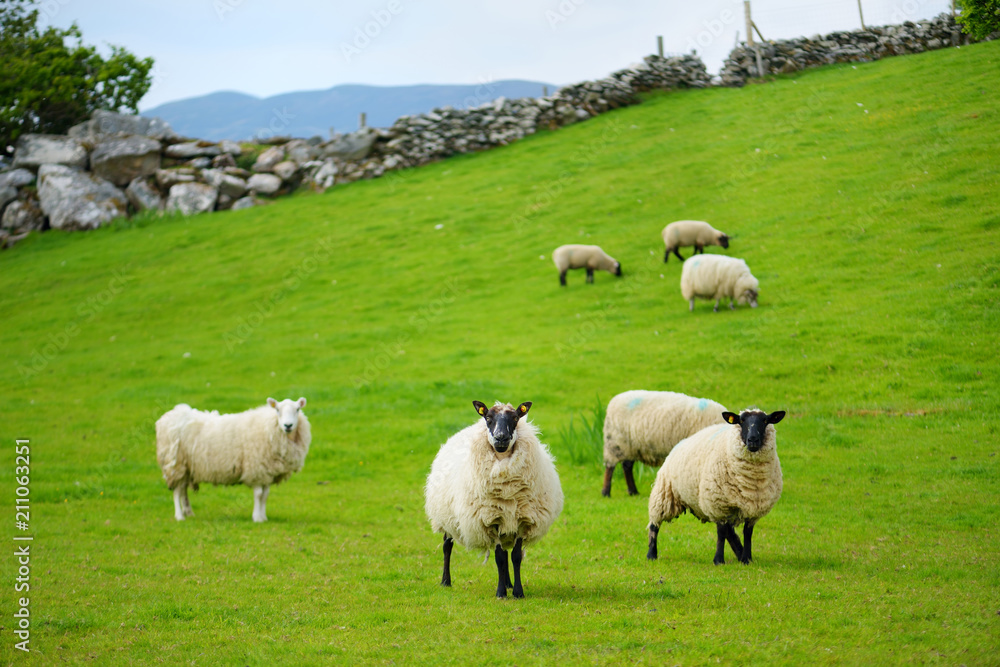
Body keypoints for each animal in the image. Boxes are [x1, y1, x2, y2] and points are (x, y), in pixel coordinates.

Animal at [155, 397, 311, 522]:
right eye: (277, 410)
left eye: (297, 409)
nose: (288, 425)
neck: (269, 428)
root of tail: (169, 416)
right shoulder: (256, 469)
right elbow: (258, 494)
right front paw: (257, 518)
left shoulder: (267, 471)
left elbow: (265, 495)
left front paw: (264, 517)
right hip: (175, 463)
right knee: (177, 490)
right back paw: (179, 516)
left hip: (186, 467)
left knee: (183, 490)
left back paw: (189, 512)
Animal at [424, 401, 563, 598]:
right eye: (488, 418)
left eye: (515, 418)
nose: (501, 438)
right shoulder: (491, 520)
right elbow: (499, 558)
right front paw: (500, 593)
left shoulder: (521, 520)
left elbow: (515, 557)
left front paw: (517, 592)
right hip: (445, 518)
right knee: (446, 545)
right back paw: (446, 581)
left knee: (506, 553)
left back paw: (508, 583)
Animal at [647, 408, 785, 565]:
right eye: (741, 421)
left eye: (765, 421)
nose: (753, 440)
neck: (750, 480)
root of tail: (679, 444)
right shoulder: (718, 503)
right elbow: (721, 532)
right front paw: (719, 559)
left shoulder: (754, 508)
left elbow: (747, 533)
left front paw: (746, 559)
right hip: (665, 493)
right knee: (654, 523)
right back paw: (651, 554)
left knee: (730, 531)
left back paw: (739, 552)